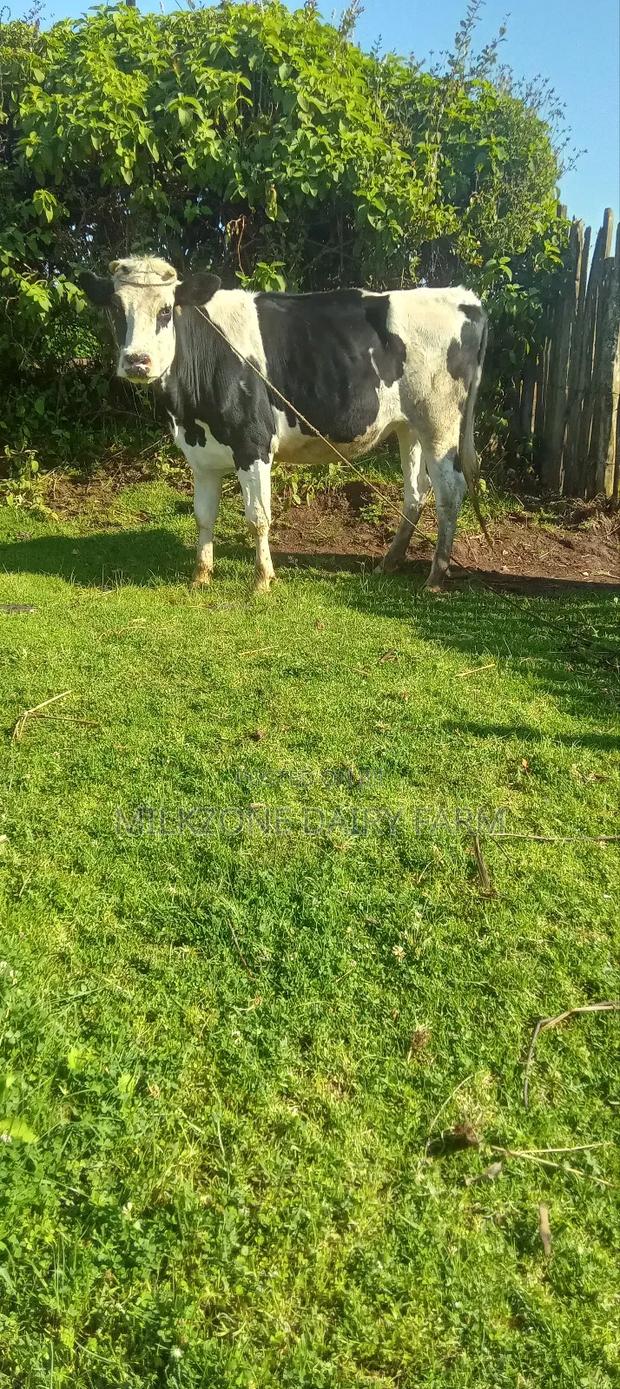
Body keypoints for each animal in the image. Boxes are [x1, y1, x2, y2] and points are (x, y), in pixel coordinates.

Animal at [79, 256, 487, 593]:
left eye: (166, 310)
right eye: (116, 308)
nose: (137, 361)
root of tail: (464, 297)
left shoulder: (253, 443)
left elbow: (258, 517)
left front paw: (262, 580)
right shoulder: (201, 455)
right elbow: (203, 516)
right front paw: (201, 576)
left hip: (440, 421)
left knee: (450, 491)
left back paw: (435, 578)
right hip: (410, 425)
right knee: (416, 492)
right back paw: (388, 563)